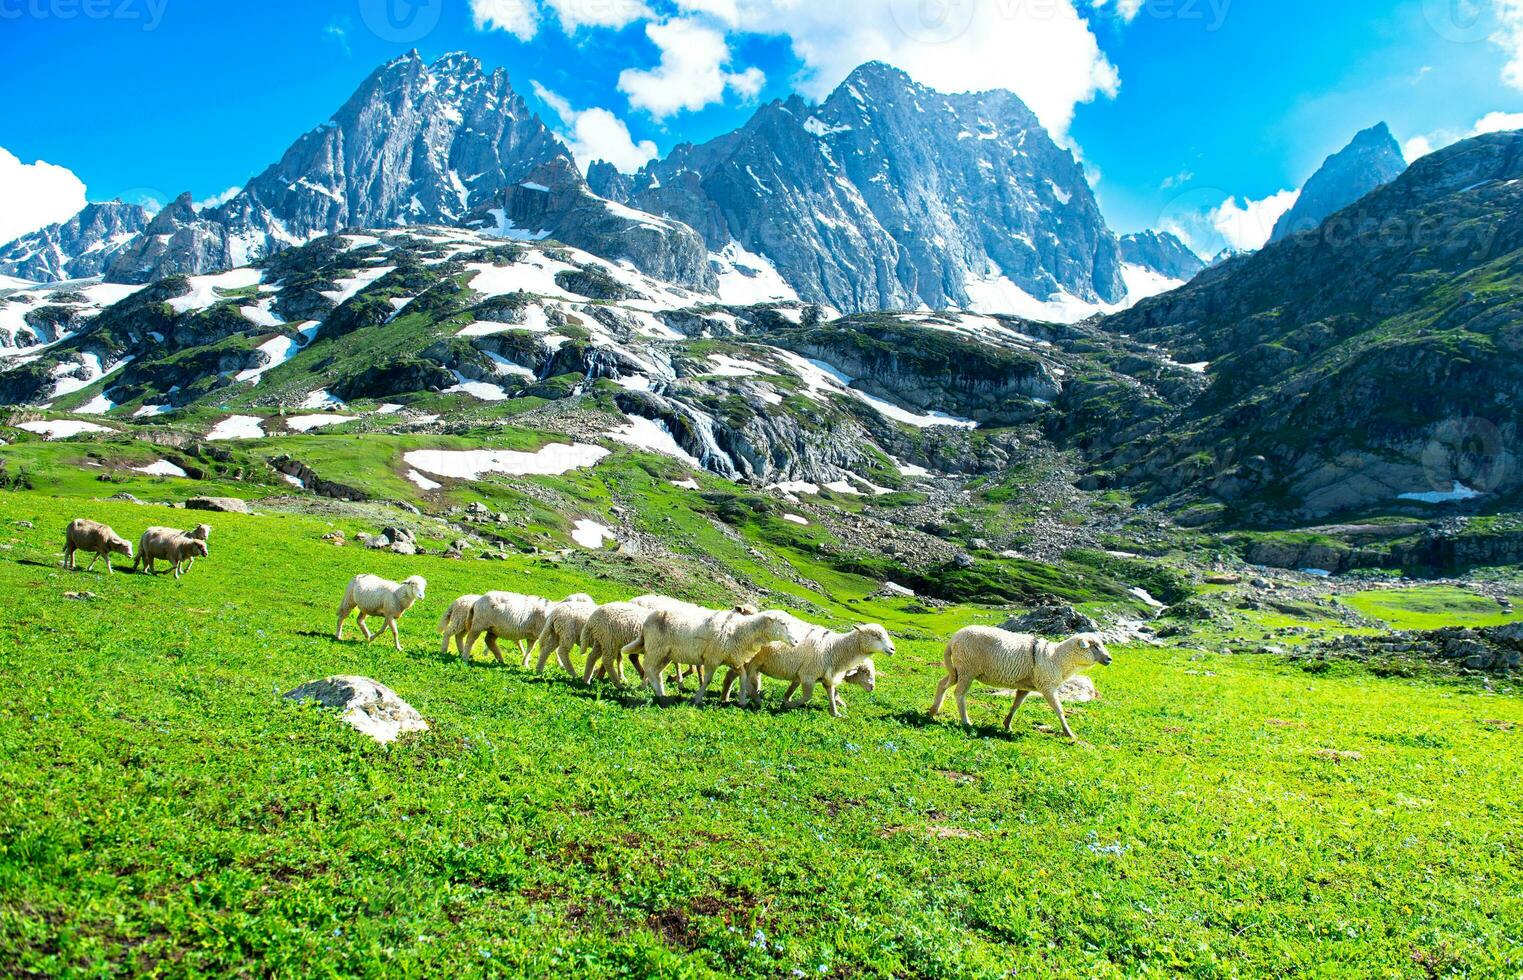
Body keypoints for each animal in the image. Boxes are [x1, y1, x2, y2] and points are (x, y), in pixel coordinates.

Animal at [627, 606, 804, 704]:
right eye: (782, 623)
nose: (796, 641)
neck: (740, 631)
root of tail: (647, 620)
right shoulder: (712, 658)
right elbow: (707, 680)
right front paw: (698, 698)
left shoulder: (733, 659)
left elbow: (743, 676)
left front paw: (741, 700)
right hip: (656, 648)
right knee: (648, 667)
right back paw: (659, 693)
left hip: (666, 654)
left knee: (656, 671)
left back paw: (661, 692)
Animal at [731, 624, 895, 716]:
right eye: (875, 635)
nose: (893, 649)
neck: (835, 649)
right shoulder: (808, 675)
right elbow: (807, 697)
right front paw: (787, 704)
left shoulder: (824, 677)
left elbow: (830, 694)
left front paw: (836, 713)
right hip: (751, 660)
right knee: (747, 678)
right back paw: (754, 698)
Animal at [919, 634, 1114, 740]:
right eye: (1095, 646)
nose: (1109, 659)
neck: (1057, 657)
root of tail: (953, 639)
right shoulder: (1047, 685)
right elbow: (1058, 709)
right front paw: (1069, 733)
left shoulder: (1026, 686)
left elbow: (1016, 705)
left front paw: (1007, 725)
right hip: (967, 668)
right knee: (959, 693)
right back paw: (966, 721)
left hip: (958, 669)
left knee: (942, 684)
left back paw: (933, 711)